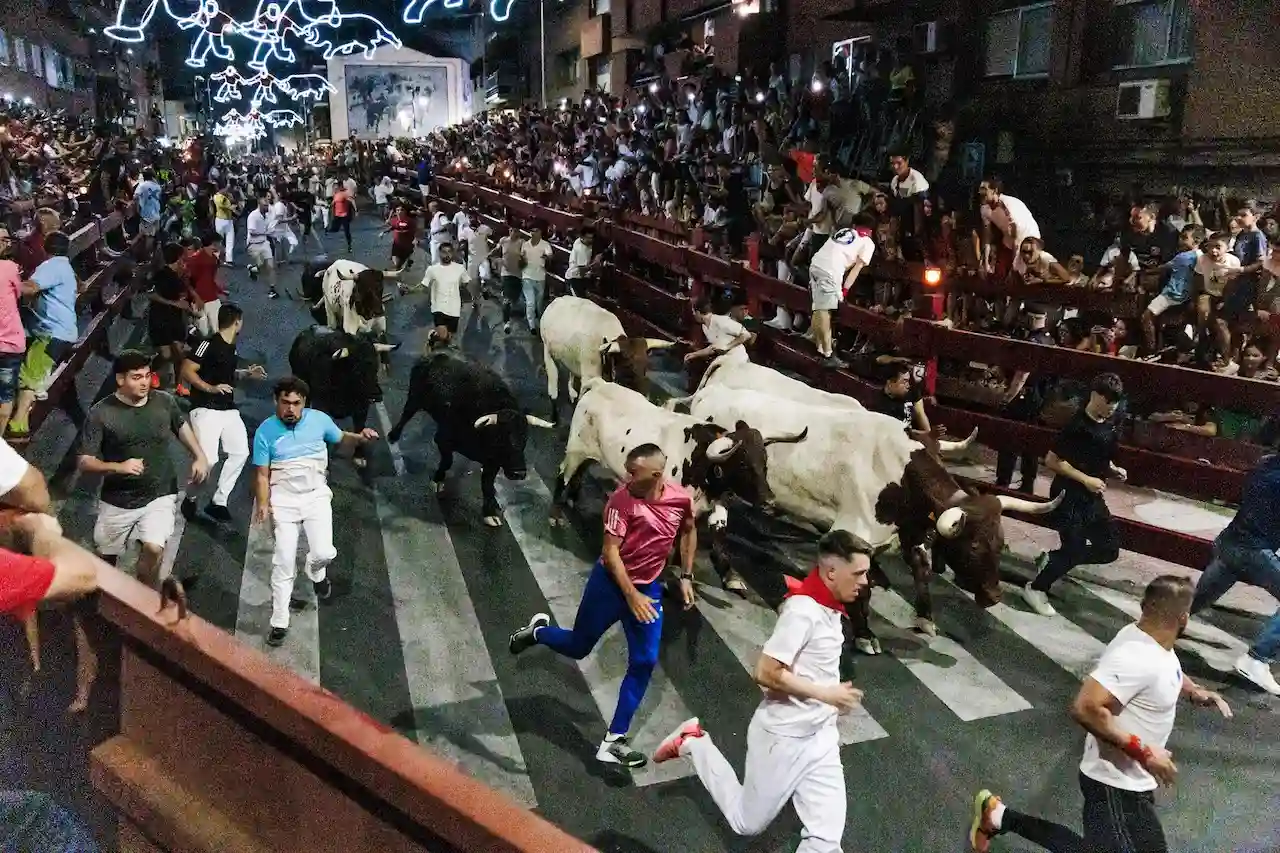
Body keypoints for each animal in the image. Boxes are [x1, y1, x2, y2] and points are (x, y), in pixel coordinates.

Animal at [384, 350, 555, 522]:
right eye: (501, 437)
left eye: (524, 438)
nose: (518, 473)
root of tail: (437, 353)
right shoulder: (442, 439)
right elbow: (447, 461)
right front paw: (438, 480)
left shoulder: (493, 462)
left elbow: (487, 484)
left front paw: (490, 512)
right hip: (414, 397)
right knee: (406, 414)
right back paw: (393, 435)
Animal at [540, 295, 680, 422]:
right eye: (628, 365)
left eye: (646, 365)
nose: (645, 396)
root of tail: (558, 299)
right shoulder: (590, 377)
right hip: (547, 350)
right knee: (553, 378)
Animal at [555, 379, 803, 591]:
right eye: (742, 463)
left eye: (764, 460)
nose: (769, 500)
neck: (700, 462)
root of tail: (601, 384)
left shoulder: (714, 504)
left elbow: (718, 533)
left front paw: (728, 575)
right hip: (575, 449)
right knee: (563, 474)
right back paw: (556, 514)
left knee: (579, 472)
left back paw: (572, 498)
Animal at [691, 384, 1059, 650]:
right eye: (973, 547)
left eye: (1000, 542)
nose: (994, 595)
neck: (900, 473)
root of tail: (712, 392)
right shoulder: (854, 530)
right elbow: (862, 588)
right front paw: (866, 634)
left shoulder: (911, 532)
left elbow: (922, 570)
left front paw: (925, 618)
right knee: (717, 524)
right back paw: (728, 573)